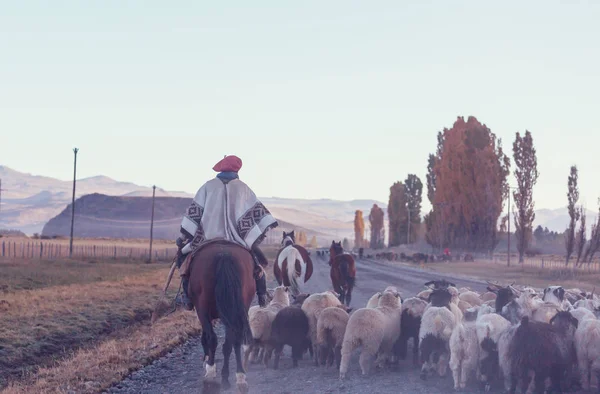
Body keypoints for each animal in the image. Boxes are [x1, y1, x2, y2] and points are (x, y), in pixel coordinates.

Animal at [190, 242, 255, 392]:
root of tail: (224, 254)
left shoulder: (203, 312)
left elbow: (207, 338)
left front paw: (209, 365)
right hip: (239, 307)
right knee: (233, 340)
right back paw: (237, 376)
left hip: (203, 307)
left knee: (213, 338)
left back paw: (211, 371)